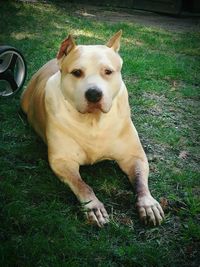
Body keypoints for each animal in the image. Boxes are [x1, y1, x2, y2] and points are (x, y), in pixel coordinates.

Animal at [20, 31, 164, 228]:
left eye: (108, 72)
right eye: (77, 72)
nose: (94, 94)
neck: (94, 122)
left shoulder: (134, 156)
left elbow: (140, 181)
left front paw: (148, 204)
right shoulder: (63, 161)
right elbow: (83, 185)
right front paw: (93, 207)